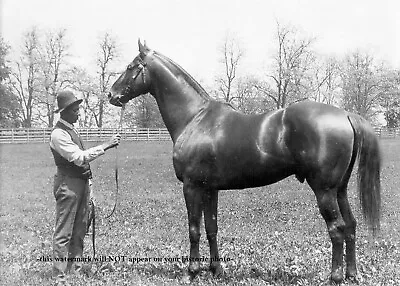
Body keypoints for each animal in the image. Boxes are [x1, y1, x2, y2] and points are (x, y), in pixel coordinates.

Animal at [108, 40, 382, 284]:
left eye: (131, 66)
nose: (111, 95)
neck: (195, 118)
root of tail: (345, 114)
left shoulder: (191, 186)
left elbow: (194, 229)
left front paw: (192, 272)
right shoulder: (210, 189)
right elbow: (211, 228)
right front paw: (216, 270)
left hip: (324, 190)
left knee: (336, 229)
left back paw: (335, 277)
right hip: (340, 189)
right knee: (350, 225)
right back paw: (351, 274)